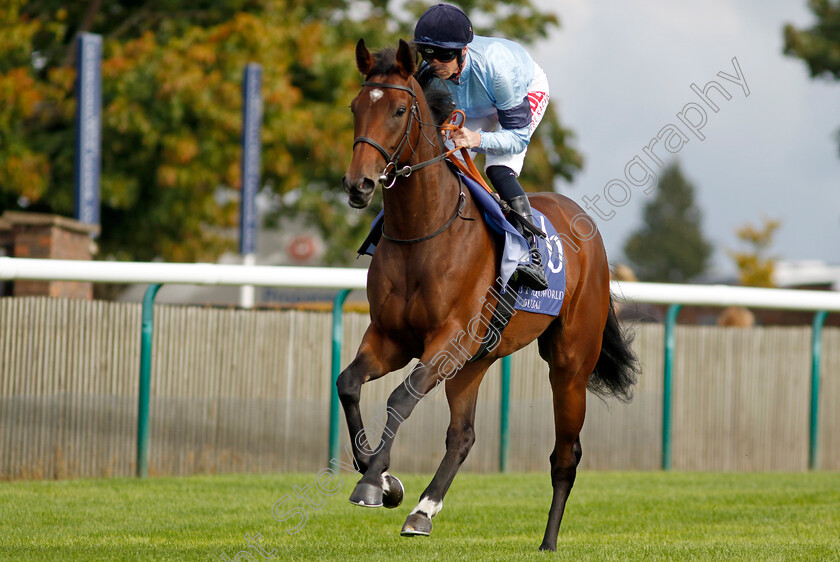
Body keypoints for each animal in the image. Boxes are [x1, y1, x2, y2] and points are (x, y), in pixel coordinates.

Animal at [336, 39, 636, 552]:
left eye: (399, 110)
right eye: (357, 107)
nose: (360, 185)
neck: (422, 232)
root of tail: (587, 229)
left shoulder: (447, 341)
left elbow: (400, 397)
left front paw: (373, 482)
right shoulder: (391, 338)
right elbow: (349, 383)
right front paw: (386, 481)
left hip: (569, 363)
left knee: (566, 455)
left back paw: (548, 541)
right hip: (473, 363)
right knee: (463, 436)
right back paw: (422, 511)